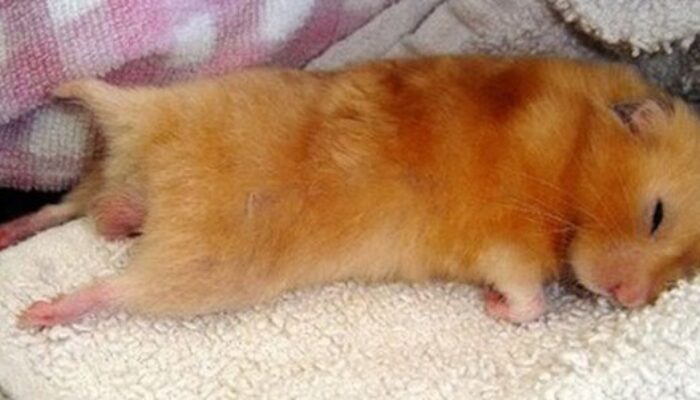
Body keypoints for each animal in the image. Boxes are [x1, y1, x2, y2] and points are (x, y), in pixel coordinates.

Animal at [5, 55, 700, 327]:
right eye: (656, 214)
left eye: (684, 274)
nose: (629, 299)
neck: (575, 157)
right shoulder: (508, 244)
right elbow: (529, 298)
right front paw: (493, 307)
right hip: (205, 269)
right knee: (115, 287)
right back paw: (40, 311)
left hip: (132, 170)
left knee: (70, 206)